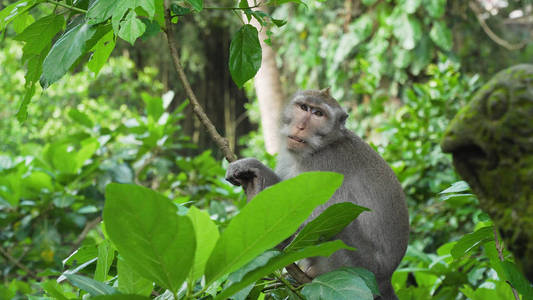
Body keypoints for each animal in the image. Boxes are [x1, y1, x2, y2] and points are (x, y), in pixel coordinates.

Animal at [224, 88, 408, 298]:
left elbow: (306, 219)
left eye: (318, 114)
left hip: (358, 263)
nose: (301, 126)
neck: (320, 146)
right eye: (304, 107)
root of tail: (386, 278)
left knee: (336, 219)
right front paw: (254, 178)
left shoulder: (322, 165)